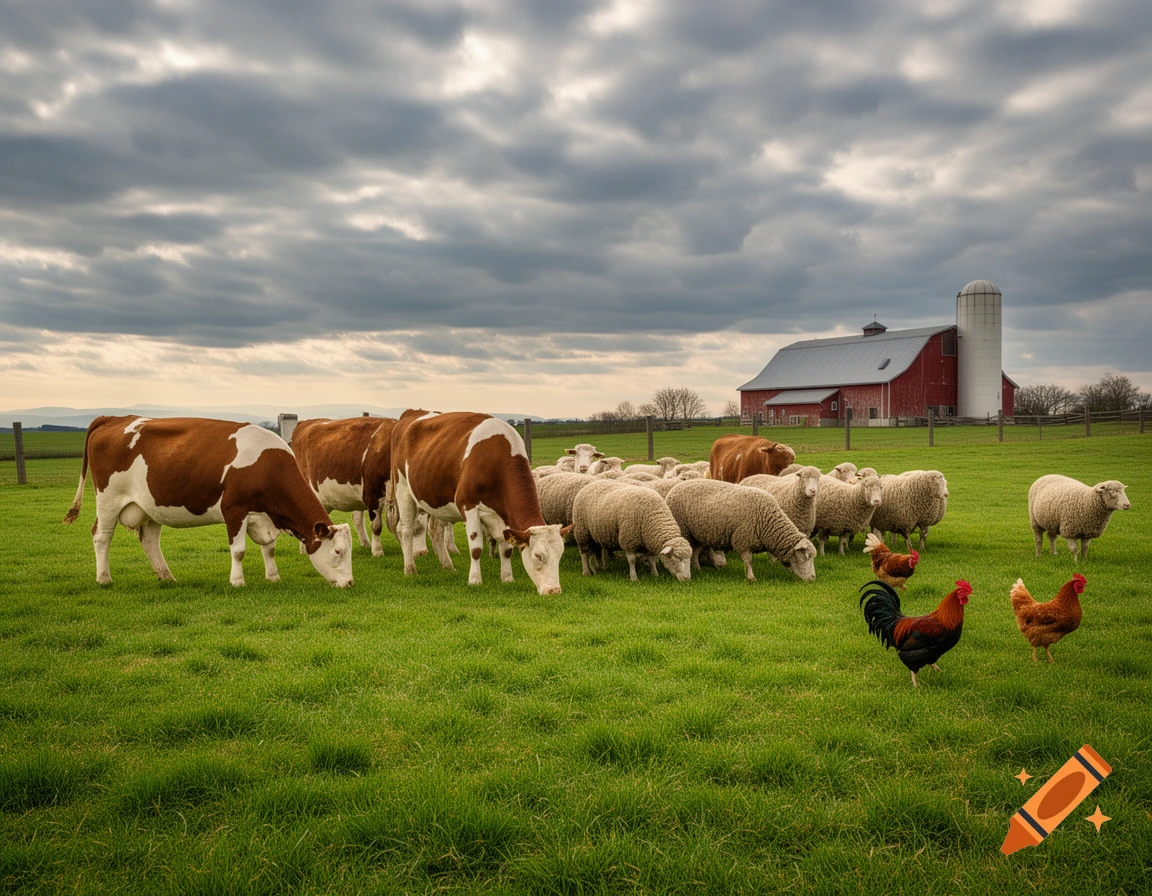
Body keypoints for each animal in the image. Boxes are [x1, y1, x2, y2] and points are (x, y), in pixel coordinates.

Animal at [64, 416, 354, 587]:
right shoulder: (234, 510)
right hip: (109, 499)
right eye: (338, 552)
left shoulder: (264, 516)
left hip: (151, 506)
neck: (267, 465)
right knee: (101, 536)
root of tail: (113, 418)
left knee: (149, 540)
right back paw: (104, 578)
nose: (349, 582)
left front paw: (273, 576)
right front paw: (237, 581)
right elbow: (238, 550)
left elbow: (269, 548)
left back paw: (167, 576)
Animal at [390, 411, 570, 594]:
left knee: (436, 531)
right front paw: (475, 580)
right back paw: (410, 568)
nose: (554, 590)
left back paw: (448, 566)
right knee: (406, 530)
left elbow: (506, 549)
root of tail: (412, 414)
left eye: (560, 555)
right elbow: (476, 549)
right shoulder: (469, 506)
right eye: (537, 555)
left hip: (436, 499)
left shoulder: (504, 514)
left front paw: (507, 578)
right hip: (402, 489)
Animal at [665, 479, 817, 582]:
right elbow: (748, 561)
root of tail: (676, 487)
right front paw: (751, 578)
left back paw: (697, 568)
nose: (812, 578)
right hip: (685, 530)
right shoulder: (743, 540)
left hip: (698, 534)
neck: (766, 521)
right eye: (806, 557)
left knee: (695, 551)